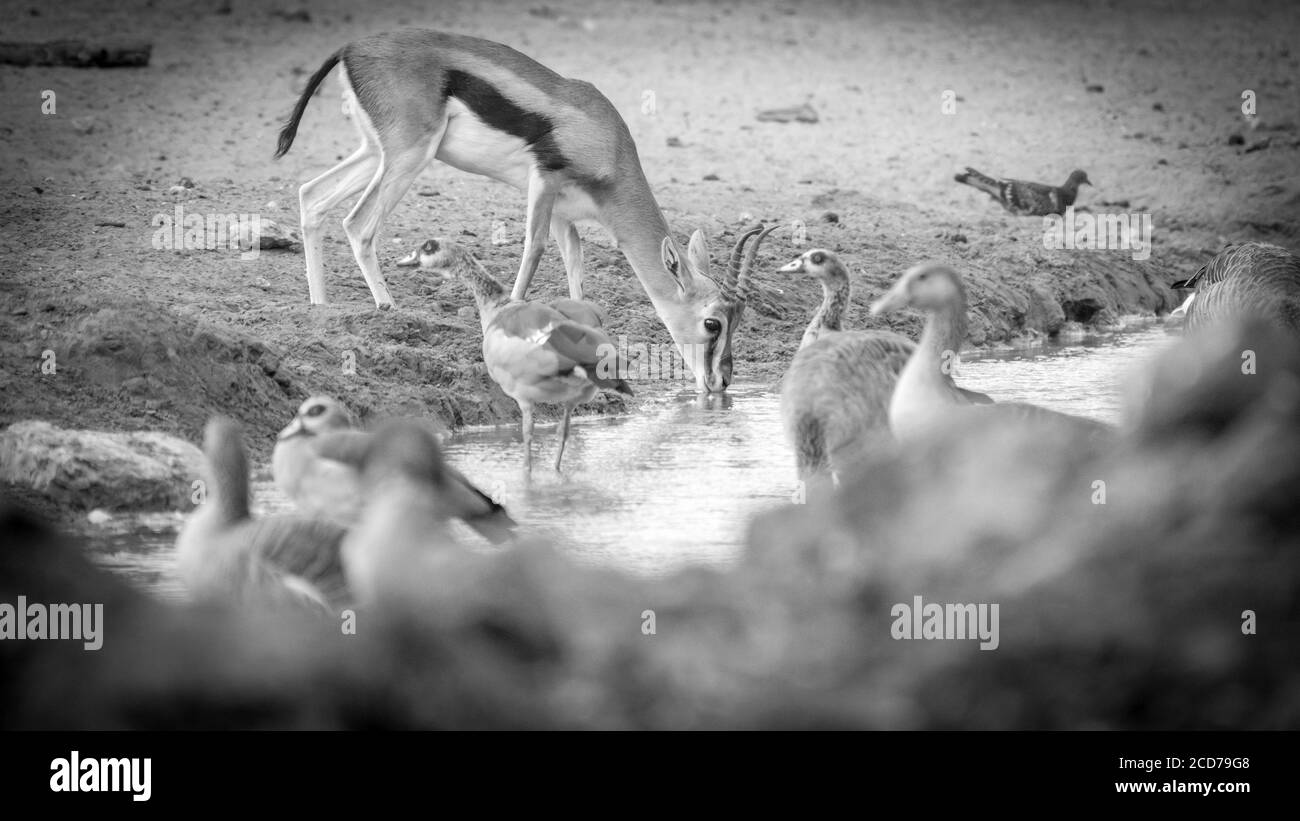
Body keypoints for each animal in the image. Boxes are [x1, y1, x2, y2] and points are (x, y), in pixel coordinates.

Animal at [275, 29, 756, 393]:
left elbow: (575, 266)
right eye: (712, 323)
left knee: (311, 197)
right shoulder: (542, 182)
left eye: (737, 320)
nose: (722, 382)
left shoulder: (564, 211)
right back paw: (387, 308)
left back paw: (320, 308)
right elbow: (533, 249)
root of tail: (351, 46)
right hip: (409, 154)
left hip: (375, 153)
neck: (608, 143)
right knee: (357, 223)